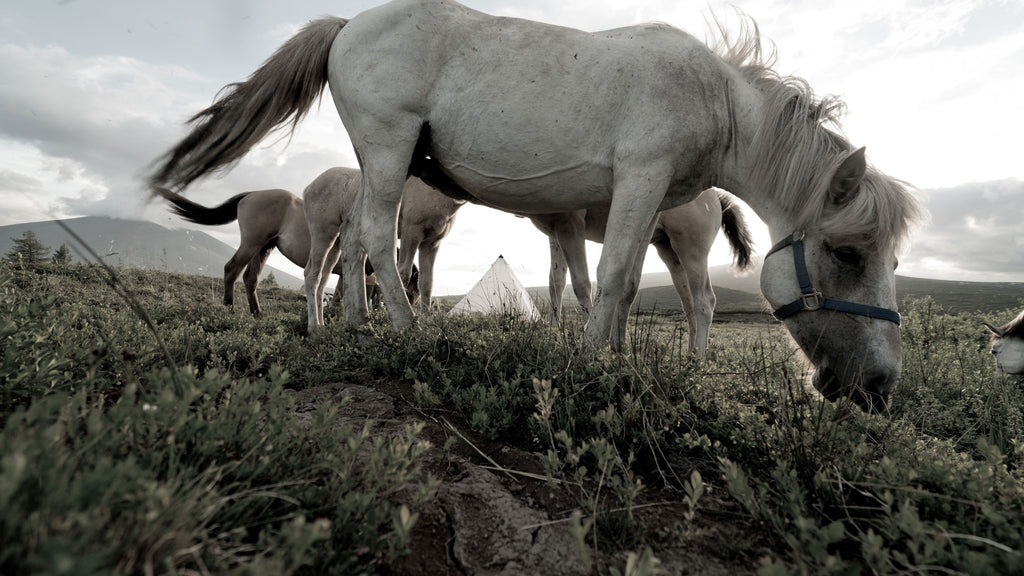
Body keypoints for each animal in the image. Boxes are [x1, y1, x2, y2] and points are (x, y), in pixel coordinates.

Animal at [299, 165, 460, 332]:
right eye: (409, 295)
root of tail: (309, 187)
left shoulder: (431, 243)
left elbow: (427, 283)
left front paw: (429, 322)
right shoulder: (412, 232)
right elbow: (404, 273)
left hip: (335, 243)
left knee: (323, 277)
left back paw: (321, 326)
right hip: (322, 233)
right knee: (312, 273)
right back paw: (314, 329)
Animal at [528, 188, 753, 356]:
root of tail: (717, 199)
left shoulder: (571, 223)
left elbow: (580, 284)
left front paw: (589, 334)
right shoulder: (556, 230)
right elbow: (556, 281)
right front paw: (554, 331)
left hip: (692, 250)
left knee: (706, 300)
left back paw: (698, 361)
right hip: (670, 253)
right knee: (690, 304)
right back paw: (690, 356)